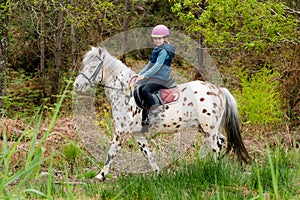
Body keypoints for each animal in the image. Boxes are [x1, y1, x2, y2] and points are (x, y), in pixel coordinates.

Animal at [74, 46, 250, 180]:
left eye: (92, 67)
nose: (76, 85)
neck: (124, 92)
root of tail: (219, 89)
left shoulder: (121, 131)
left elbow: (111, 152)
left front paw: (100, 176)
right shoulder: (137, 134)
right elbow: (148, 154)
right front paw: (158, 174)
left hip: (209, 128)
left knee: (215, 146)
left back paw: (215, 171)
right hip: (204, 127)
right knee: (220, 141)